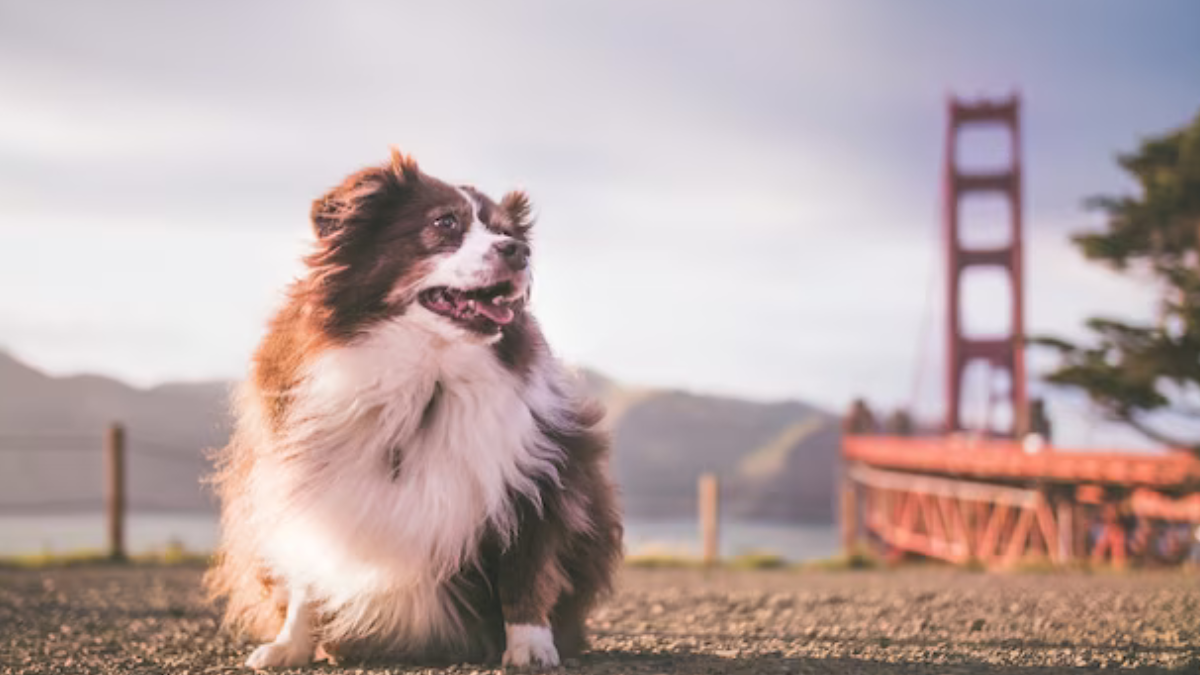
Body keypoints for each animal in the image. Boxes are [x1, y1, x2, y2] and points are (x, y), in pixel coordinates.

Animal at [205, 148, 624, 667]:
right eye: (445, 222)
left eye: (507, 231)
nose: (519, 252)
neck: (426, 377)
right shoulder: (301, 473)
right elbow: (307, 568)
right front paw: (290, 646)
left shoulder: (539, 472)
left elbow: (524, 568)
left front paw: (530, 647)